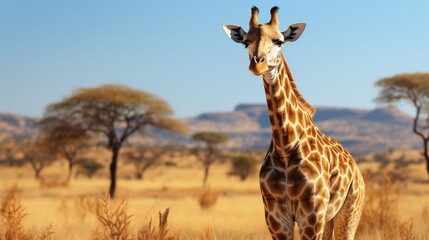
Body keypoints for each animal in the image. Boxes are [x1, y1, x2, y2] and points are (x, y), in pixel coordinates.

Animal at [222, 6, 362, 239]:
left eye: (279, 41)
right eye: (245, 41)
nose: (257, 64)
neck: (286, 145)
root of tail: (355, 166)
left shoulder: (312, 214)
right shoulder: (275, 215)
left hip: (349, 213)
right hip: (329, 218)